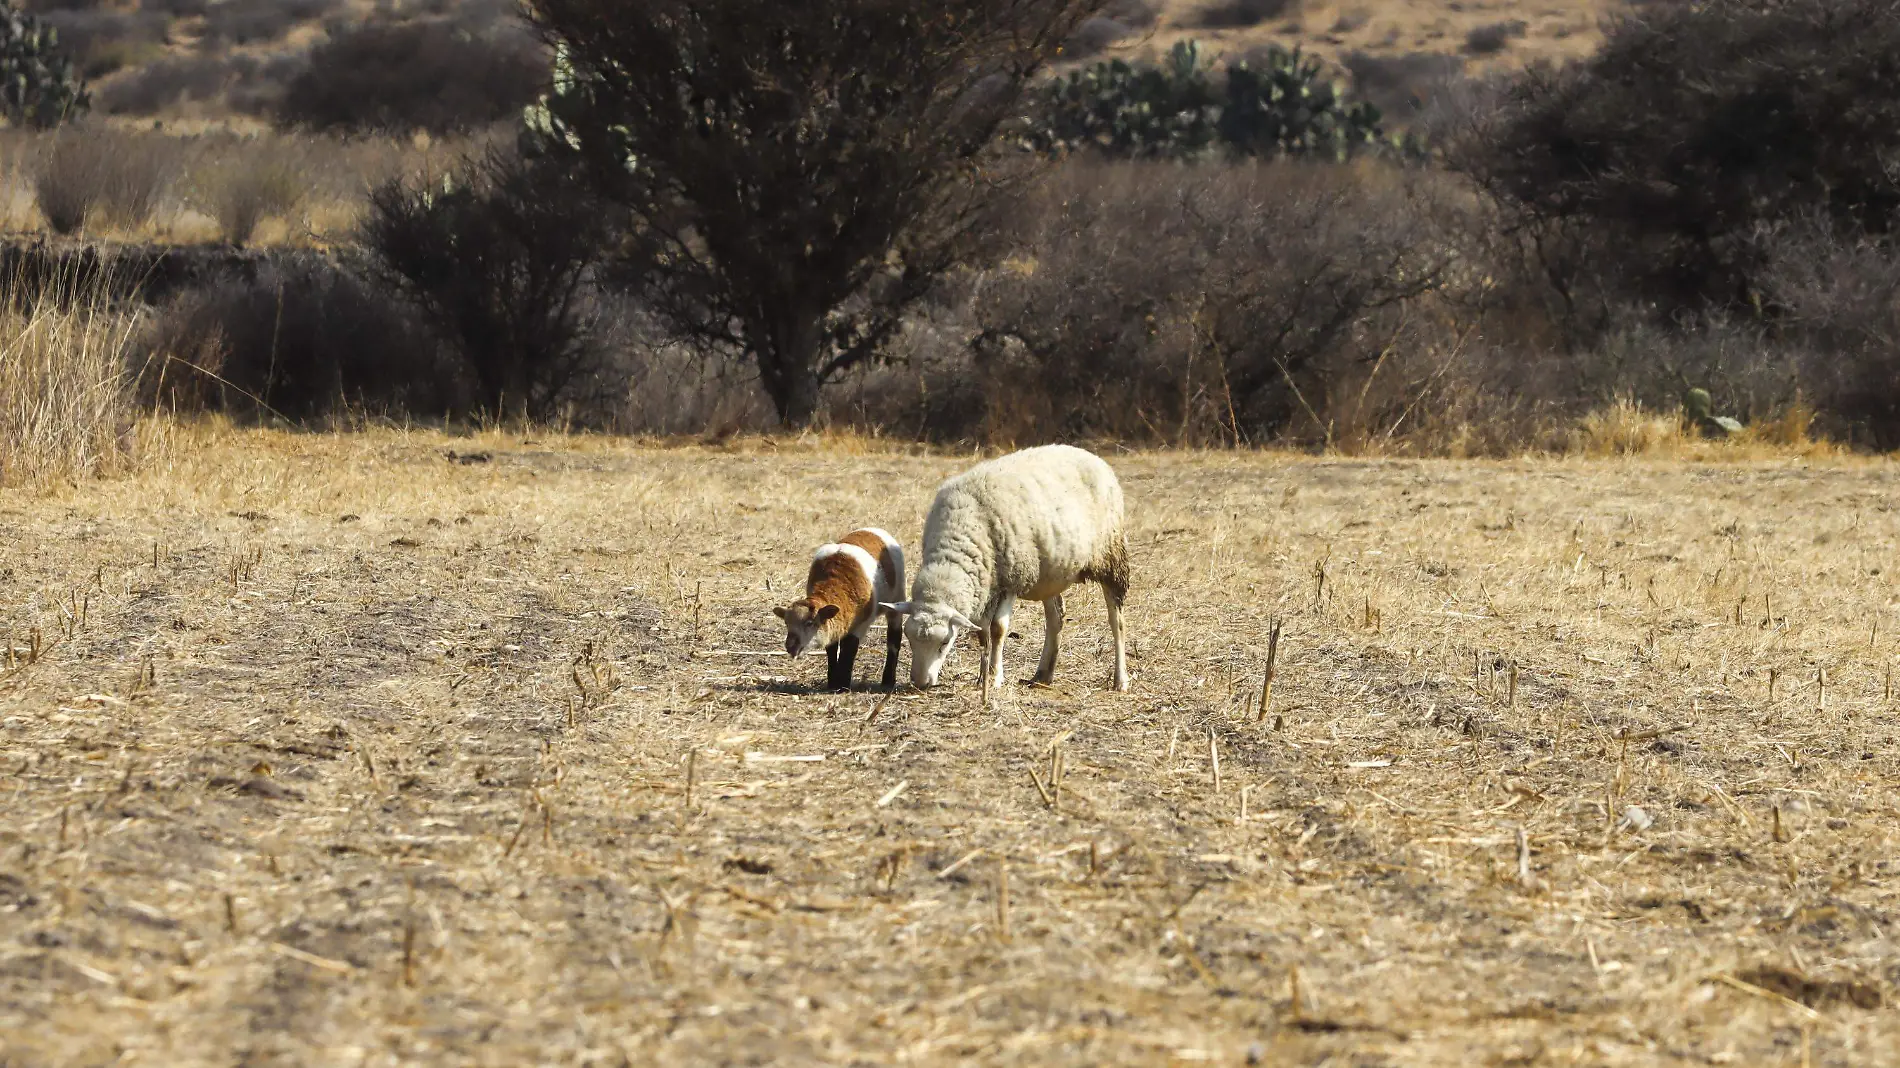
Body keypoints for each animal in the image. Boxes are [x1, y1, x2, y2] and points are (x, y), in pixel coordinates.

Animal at [779, 524, 912, 691]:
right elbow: (831, 648)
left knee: (893, 640)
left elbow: (850, 647)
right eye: (786, 623)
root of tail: (875, 529)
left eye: (810, 623)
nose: (790, 646)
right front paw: (833, 682)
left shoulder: (862, 623)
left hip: (897, 599)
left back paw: (888, 680)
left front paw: (842, 684)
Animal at [877, 440, 1124, 691]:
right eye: (909, 639)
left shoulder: (1012, 579)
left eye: (945, 642)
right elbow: (983, 632)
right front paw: (982, 677)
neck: (956, 542)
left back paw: (1120, 679)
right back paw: (1043, 675)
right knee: (1056, 618)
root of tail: (1090, 455)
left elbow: (998, 629)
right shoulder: (987, 584)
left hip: (1111, 555)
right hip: (1051, 572)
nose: (920, 683)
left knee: (1117, 620)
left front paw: (995, 676)